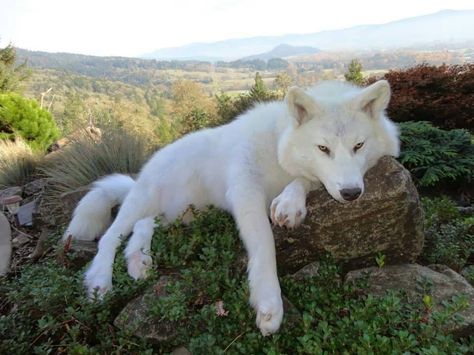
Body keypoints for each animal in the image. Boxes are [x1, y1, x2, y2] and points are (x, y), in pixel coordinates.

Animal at [65, 80, 400, 336]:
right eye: (323, 148)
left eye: (358, 146)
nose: (351, 194)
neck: (275, 147)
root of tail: (138, 176)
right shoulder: (245, 192)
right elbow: (265, 245)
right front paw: (269, 304)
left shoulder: (307, 179)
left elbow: (303, 182)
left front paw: (290, 203)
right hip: (144, 200)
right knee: (111, 237)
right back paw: (100, 282)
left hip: (176, 215)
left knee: (142, 227)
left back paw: (139, 262)